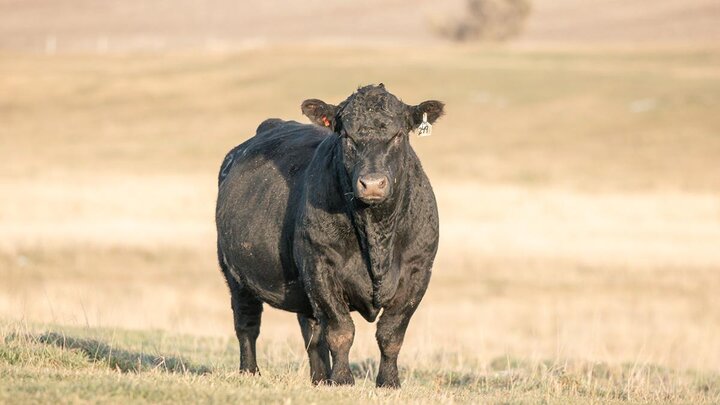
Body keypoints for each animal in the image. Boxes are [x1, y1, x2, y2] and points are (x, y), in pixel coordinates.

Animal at [215, 83, 444, 386]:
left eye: (398, 135)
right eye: (346, 136)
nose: (372, 184)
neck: (377, 236)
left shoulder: (418, 271)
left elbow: (391, 333)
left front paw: (388, 382)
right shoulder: (320, 265)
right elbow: (340, 330)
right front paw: (343, 379)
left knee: (311, 332)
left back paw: (320, 379)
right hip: (235, 273)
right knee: (247, 324)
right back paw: (250, 372)